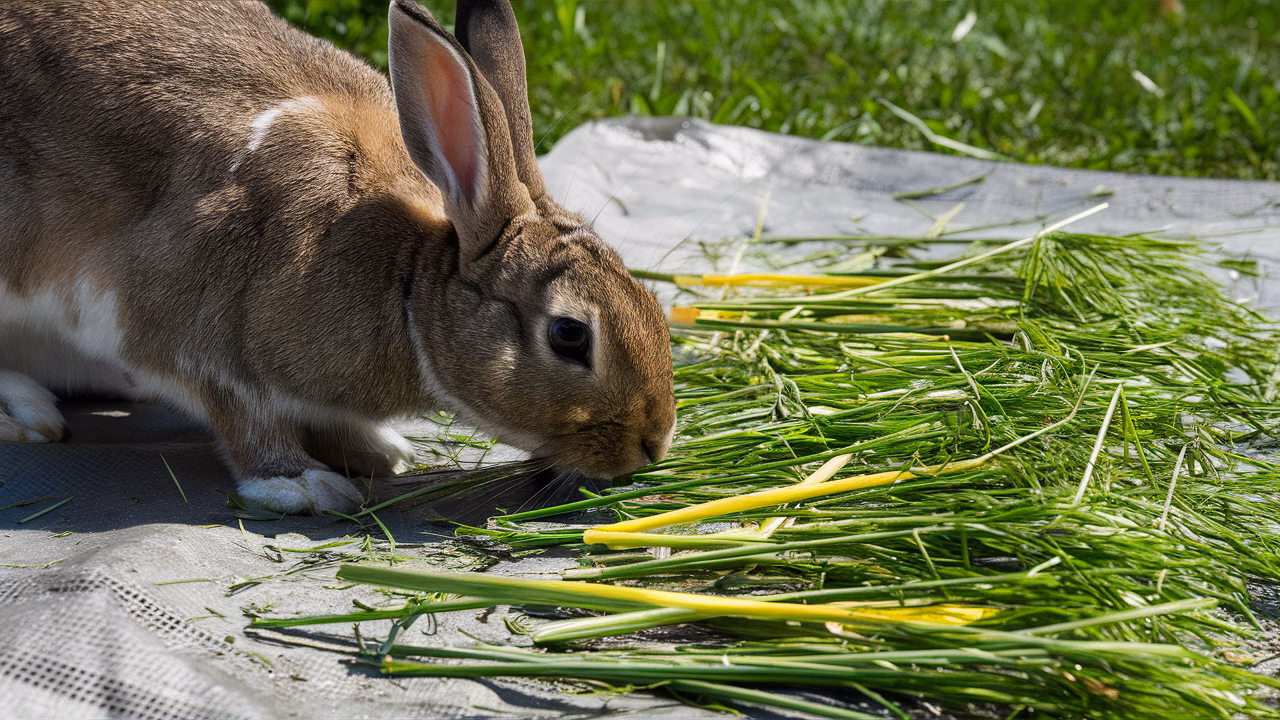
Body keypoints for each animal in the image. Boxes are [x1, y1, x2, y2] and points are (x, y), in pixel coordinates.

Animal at [0, 0, 676, 514]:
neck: (405, 285)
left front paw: (379, 451)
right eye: (569, 335)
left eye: (651, 300)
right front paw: (305, 485)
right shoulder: (183, 327)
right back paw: (27, 414)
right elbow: (244, 418)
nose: (655, 442)